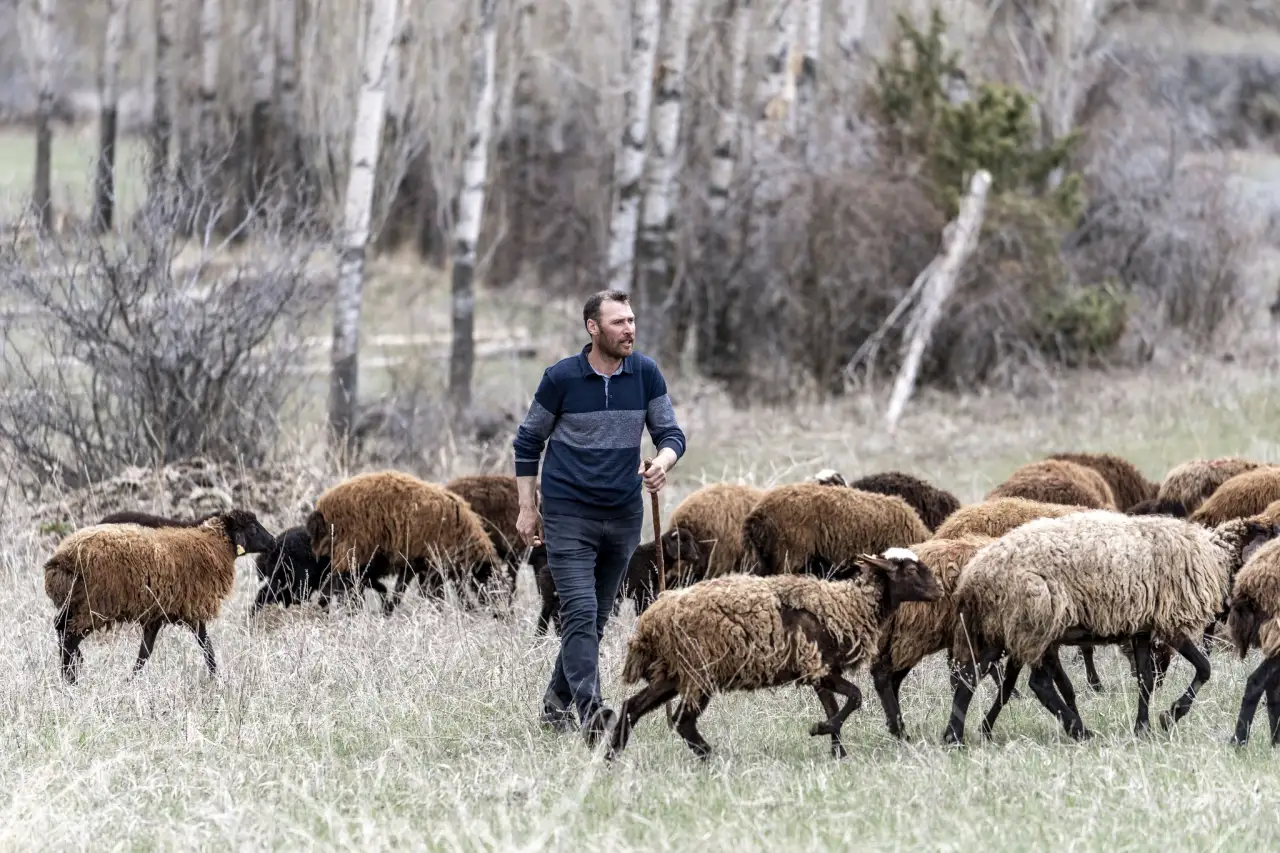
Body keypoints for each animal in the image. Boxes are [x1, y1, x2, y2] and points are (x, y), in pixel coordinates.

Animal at [45, 507, 275, 681]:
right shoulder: (194, 609)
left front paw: (131, 681)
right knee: (69, 637)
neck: (214, 544)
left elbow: (145, 652)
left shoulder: (156, 614)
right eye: (253, 528)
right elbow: (206, 646)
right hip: (94, 606)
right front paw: (215, 678)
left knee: (60, 628)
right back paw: (72, 678)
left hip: (74, 603)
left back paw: (71, 669)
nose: (273, 542)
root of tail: (62, 558)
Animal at [609, 548, 942, 758]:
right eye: (912, 569)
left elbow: (835, 707)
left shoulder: (818, 672)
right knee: (682, 721)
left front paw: (837, 751)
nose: (939, 590)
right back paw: (709, 757)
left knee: (632, 708)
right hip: (698, 671)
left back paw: (612, 759)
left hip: (673, 673)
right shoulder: (819, 669)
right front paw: (820, 731)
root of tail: (651, 620)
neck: (847, 606)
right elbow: (855, 698)